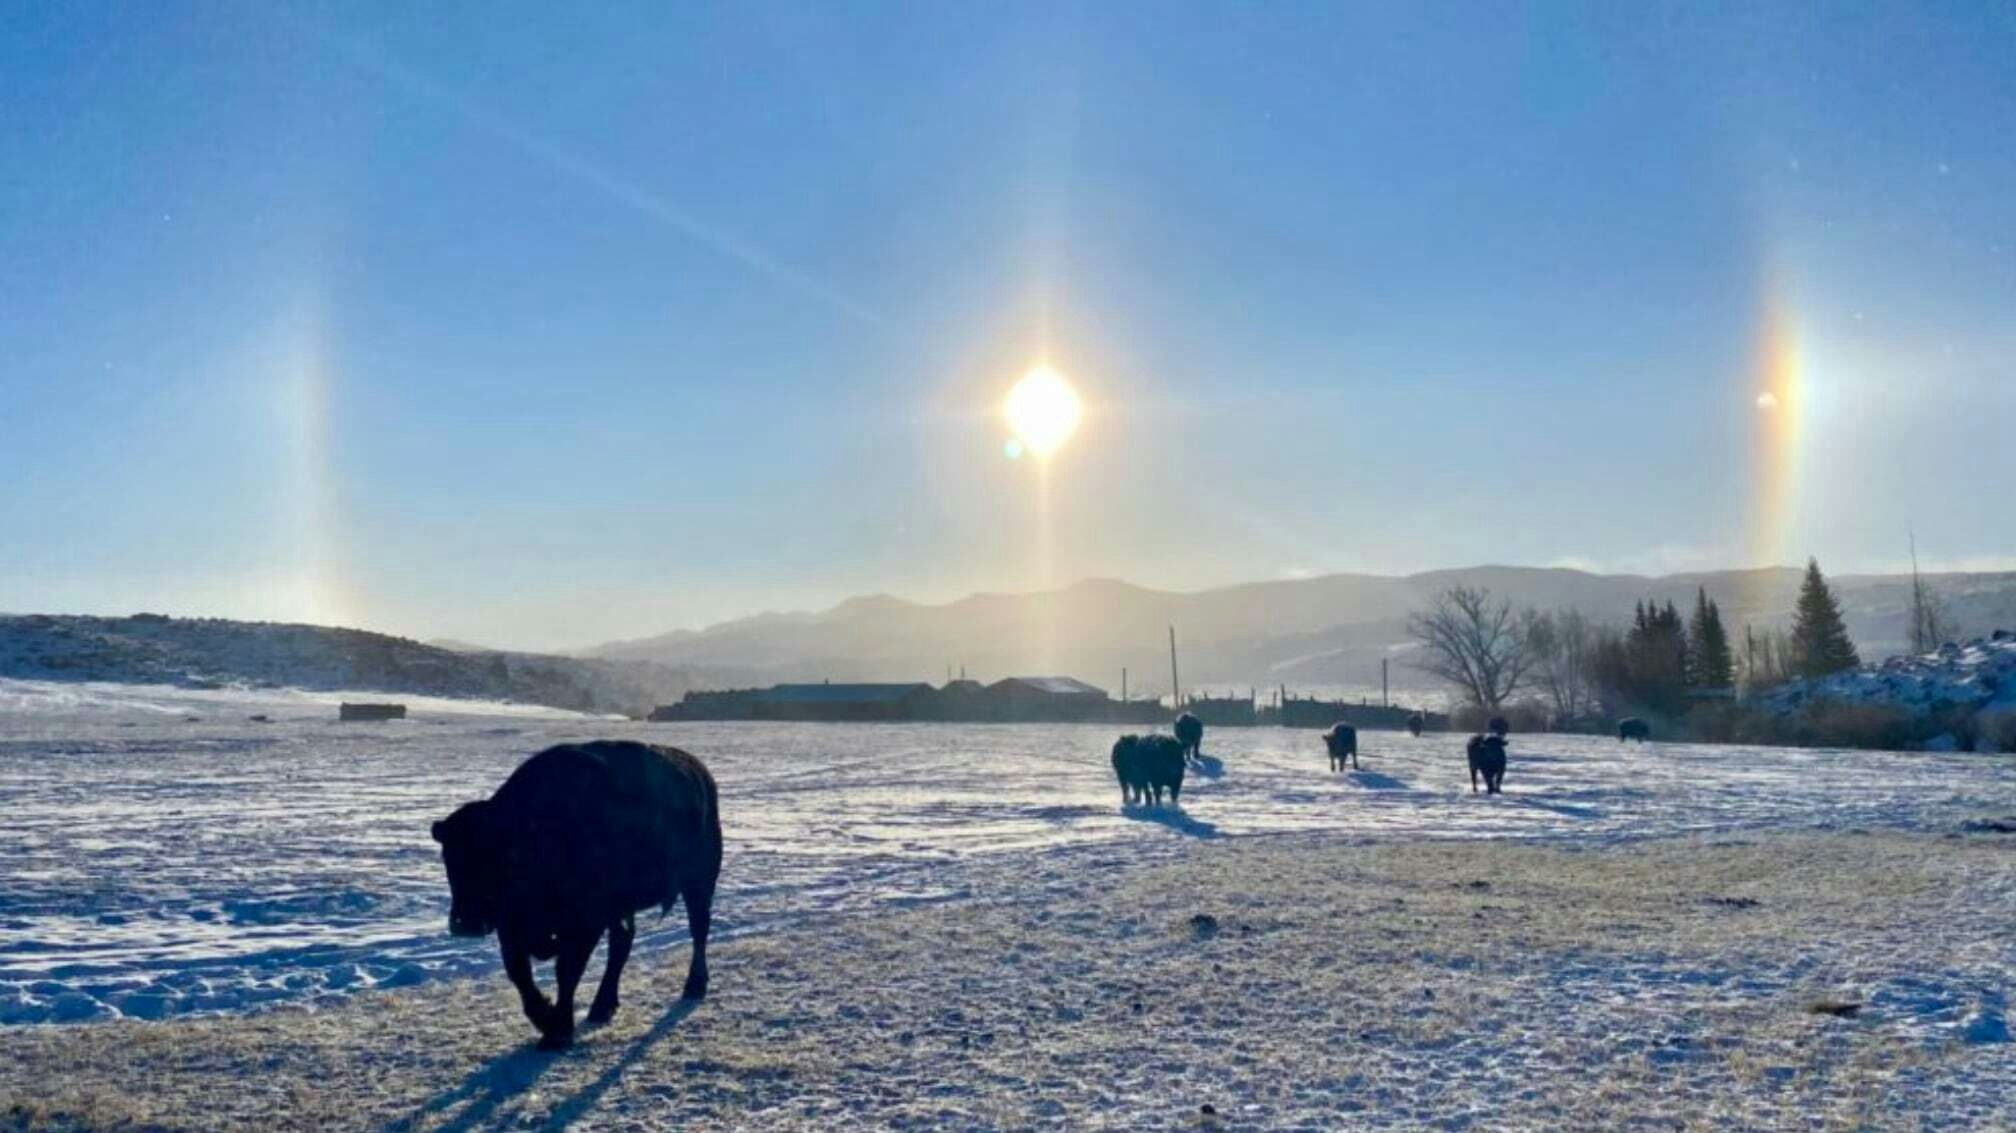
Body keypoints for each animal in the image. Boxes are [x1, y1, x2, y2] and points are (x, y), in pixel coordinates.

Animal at [433, 737, 725, 1048]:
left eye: (500, 856)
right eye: (448, 858)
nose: (466, 923)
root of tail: (702, 775)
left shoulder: (585, 925)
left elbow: (567, 972)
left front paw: (558, 1030)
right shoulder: (511, 929)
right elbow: (520, 974)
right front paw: (546, 1019)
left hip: (698, 885)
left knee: (698, 930)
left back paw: (694, 985)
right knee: (622, 945)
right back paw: (602, 1007)